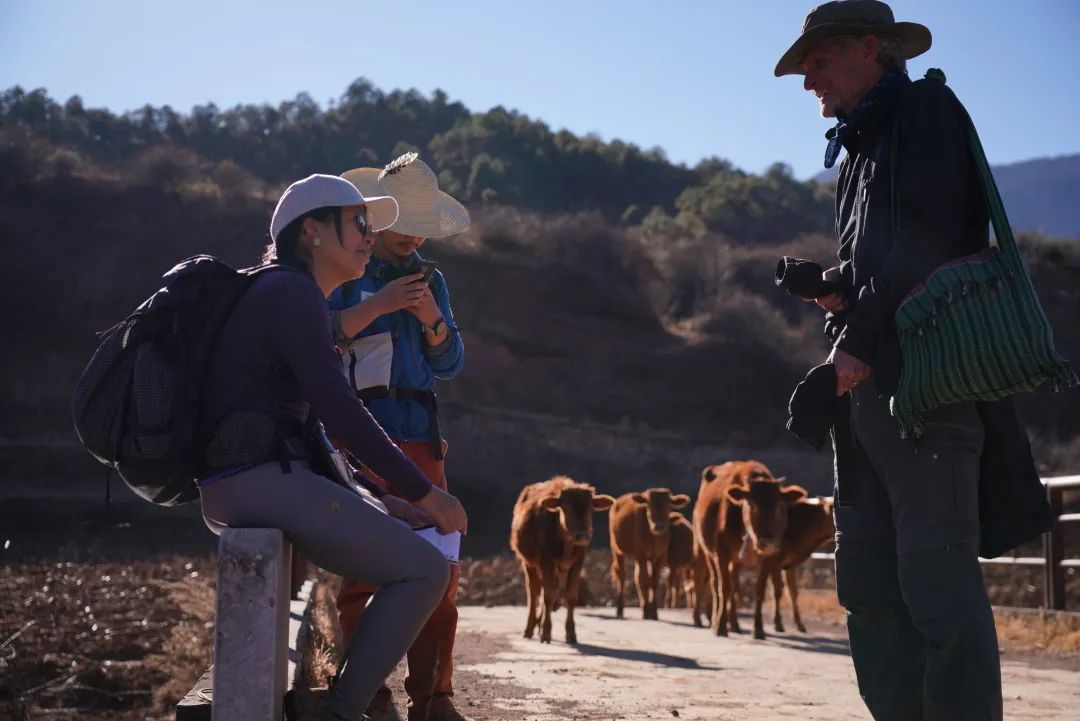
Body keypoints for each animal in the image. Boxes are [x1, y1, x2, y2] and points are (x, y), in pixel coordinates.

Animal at [507, 474, 613, 643]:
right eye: (566, 508)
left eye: (590, 508)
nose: (582, 536)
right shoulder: (546, 562)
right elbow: (548, 596)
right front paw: (546, 632)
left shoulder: (577, 563)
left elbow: (570, 596)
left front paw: (571, 634)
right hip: (529, 564)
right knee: (534, 593)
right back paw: (530, 628)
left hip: (558, 570)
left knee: (550, 590)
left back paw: (539, 623)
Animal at [609, 490, 691, 621]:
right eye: (649, 506)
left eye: (668, 506)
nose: (659, 526)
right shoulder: (641, 554)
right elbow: (645, 581)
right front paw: (647, 612)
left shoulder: (659, 556)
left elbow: (654, 582)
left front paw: (654, 612)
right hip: (617, 549)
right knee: (622, 575)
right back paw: (620, 610)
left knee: (638, 577)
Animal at [695, 461, 807, 634]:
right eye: (751, 504)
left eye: (778, 505)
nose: (767, 542)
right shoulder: (721, 554)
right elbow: (724, 587)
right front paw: (720, 626)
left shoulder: (768, 559)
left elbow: (759, 592)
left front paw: (758, 629)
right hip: (708, 553)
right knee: (715, 584)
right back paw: (715, 621)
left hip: (735, 562)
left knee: (735, 587)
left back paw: (735, 624)